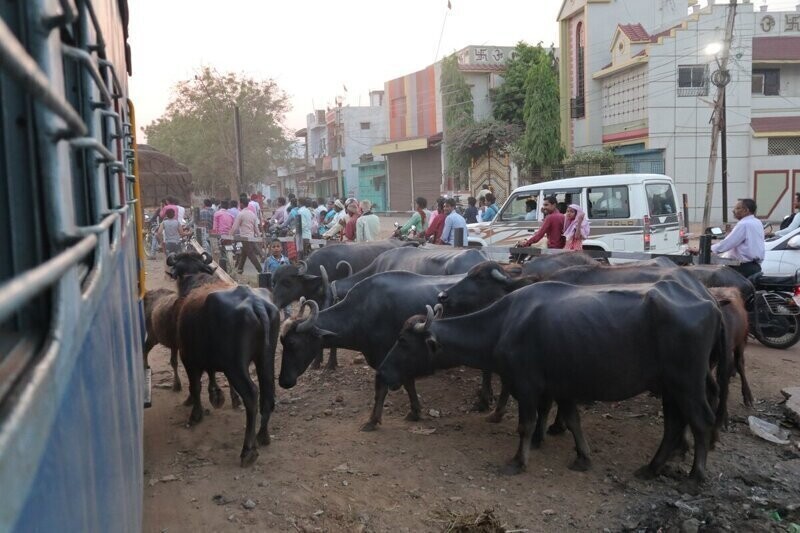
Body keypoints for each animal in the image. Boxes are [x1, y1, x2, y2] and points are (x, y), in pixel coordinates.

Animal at [170, 251, 282, 464]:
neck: (196, 280)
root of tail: (256, 304)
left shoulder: (187, 356)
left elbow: (195, 386)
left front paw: (196, 414)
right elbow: (213, 374)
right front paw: (220, 395)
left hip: (236, 365)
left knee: (252, 394)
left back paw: (248, 450)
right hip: (265, 358)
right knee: (268, 392)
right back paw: (262, 436)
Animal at [282, 272, 466, 430]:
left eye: (292, 342)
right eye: (282, 342)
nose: (284, 381)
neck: (363, 312)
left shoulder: (388, 359)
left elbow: (382, 389)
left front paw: (372, 420)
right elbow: (408, 383)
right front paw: (415, 412)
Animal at [378, 280, 720, 484]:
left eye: (403, 341)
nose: (382, 372)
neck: (505, 325)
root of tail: (708, 302)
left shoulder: (527, 386)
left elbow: (526, 425)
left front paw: (519, 460)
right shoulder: (562, 387)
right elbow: (572, 420)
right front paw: (582, 457)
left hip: (687, 383)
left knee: (701, 420)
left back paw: (696, 476)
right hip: (670, 387)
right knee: (674, 424)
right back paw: (651, 467)